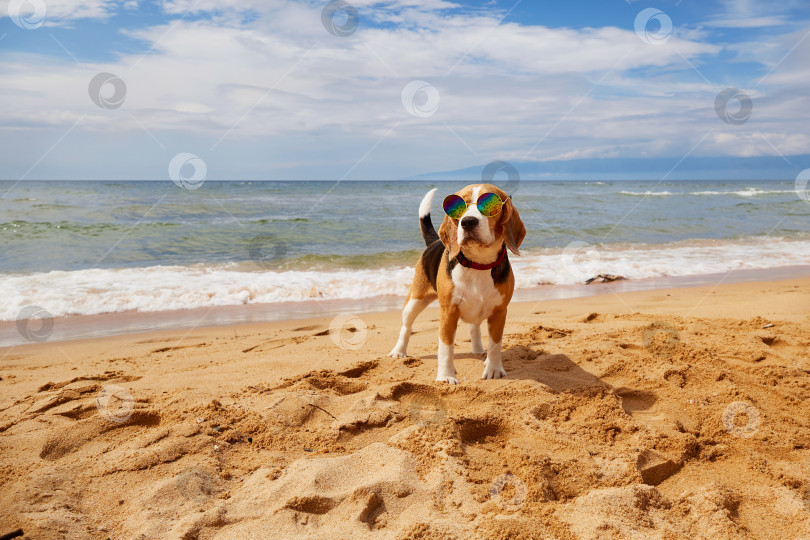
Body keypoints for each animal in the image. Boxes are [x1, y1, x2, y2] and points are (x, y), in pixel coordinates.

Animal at [390, 186, 528, 384]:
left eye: (490, 205)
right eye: (458, 207)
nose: (468, 222)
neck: (478, 263)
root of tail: (434, 241)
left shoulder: (500, 312)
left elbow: (495, 344)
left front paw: (493, 369)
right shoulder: (448, 313)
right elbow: (446, 348)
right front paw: (446, 376)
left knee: (474, 327)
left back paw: (479, 350)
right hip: (415, 300)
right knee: (406, 327)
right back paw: (398, 351)